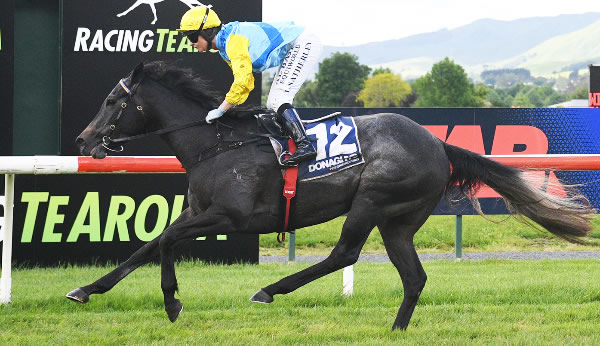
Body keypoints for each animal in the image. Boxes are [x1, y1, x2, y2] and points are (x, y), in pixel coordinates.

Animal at [68, 61, 592, 330]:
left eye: (113, 102)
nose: (83, 139)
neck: (215, 144)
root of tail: (437, 143)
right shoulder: (200, 211)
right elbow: (153, 244)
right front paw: (91, 290)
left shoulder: (230, 217)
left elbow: (164, 242)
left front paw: (169, 302)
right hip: (399, 221)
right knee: (413, 276)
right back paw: (396, 330)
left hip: (375, 201)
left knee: (345, 253)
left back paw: (269, 290)